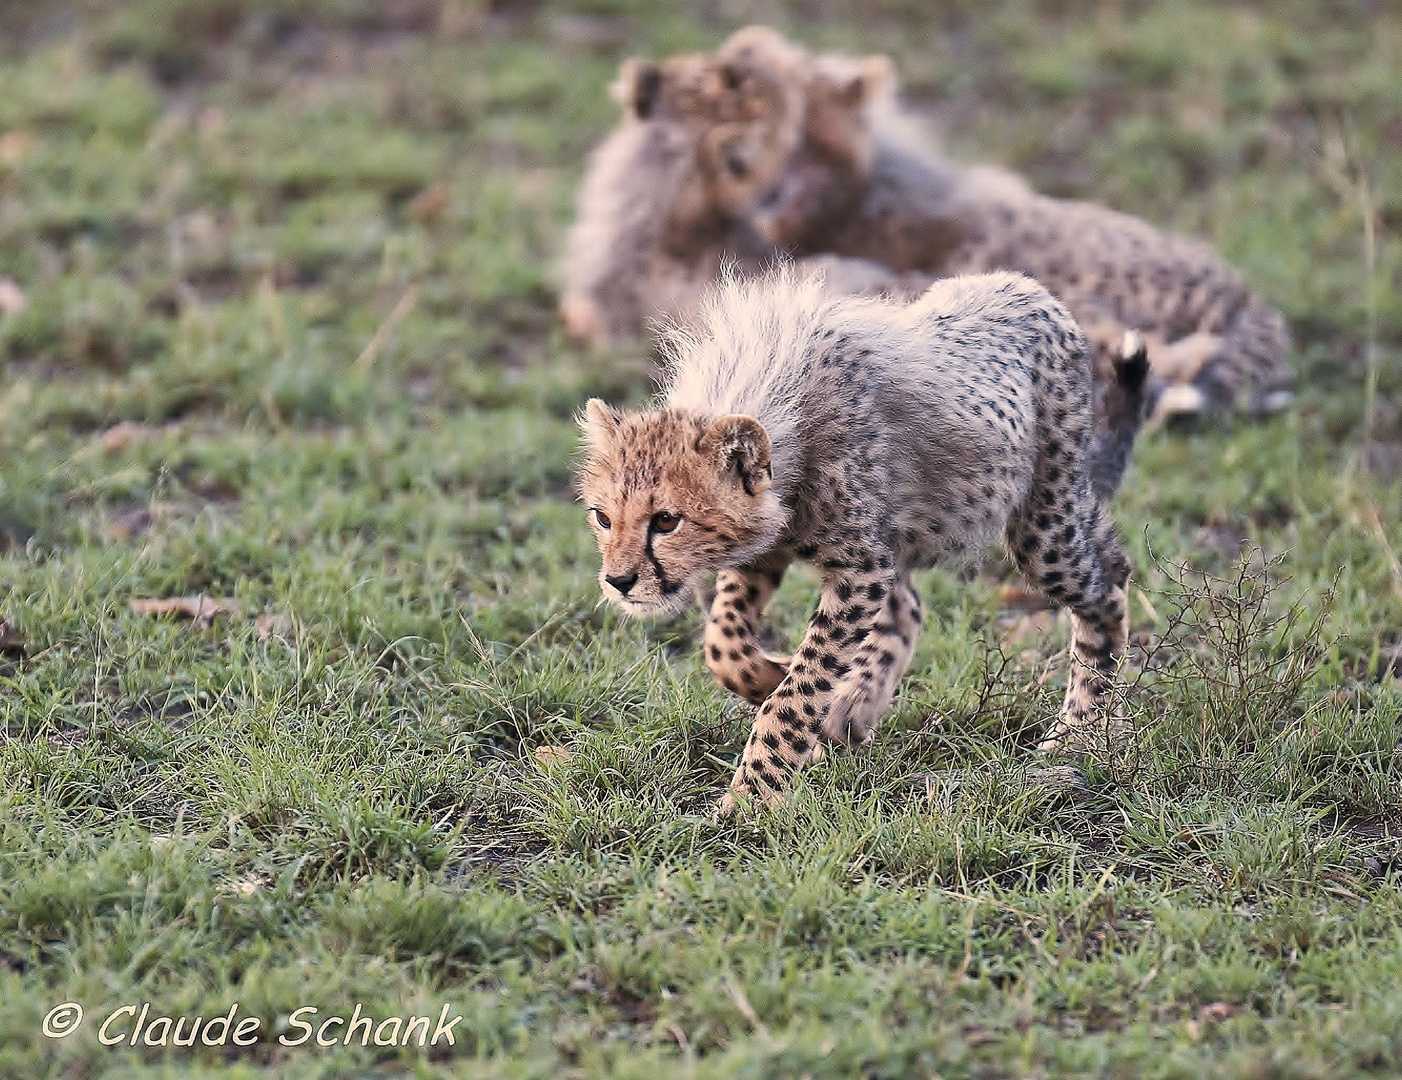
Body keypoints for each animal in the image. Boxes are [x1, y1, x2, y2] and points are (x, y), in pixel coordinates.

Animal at [574, 266, 1132, 807]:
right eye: (603, 517)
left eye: (666, 521)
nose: (619, 582)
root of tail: (1027, 287)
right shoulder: (769, 546)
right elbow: (722, 641)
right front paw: (766, 676)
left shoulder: (859, 570)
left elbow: (799, 688)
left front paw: (753, 794)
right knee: (919, 606)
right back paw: (851, 710)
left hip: (1044, 519)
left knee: (1104, 589)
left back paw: (1080, 731)